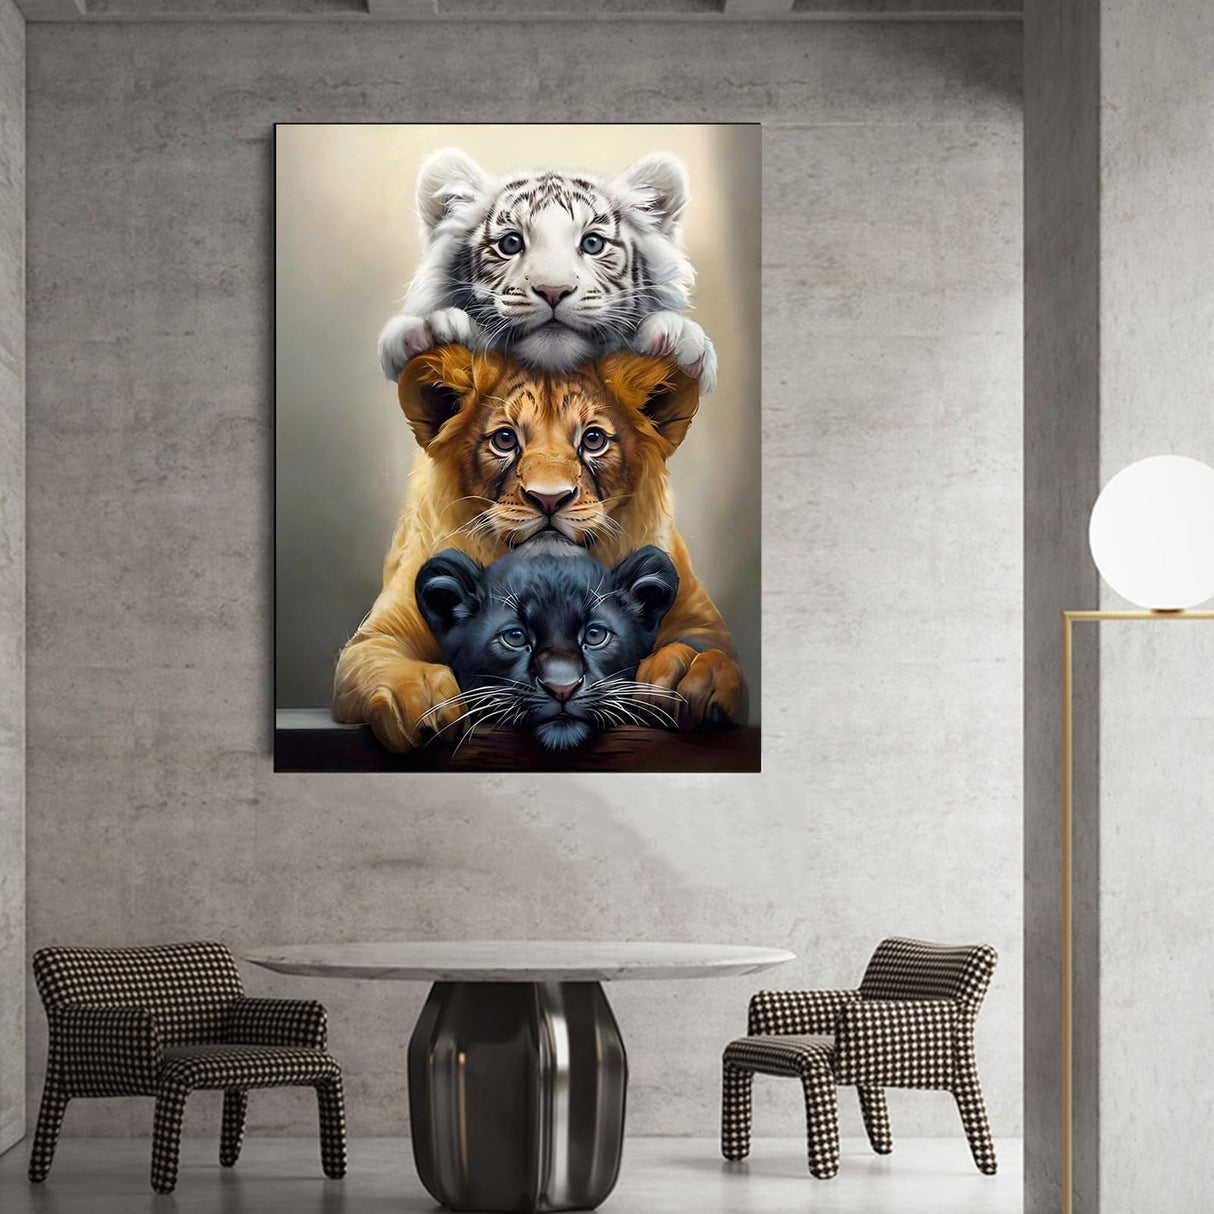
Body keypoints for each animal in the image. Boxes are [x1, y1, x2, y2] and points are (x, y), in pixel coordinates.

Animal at [333, 345, 745, 753]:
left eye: (593, 440)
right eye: (504, 439)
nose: (549, 499)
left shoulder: (698, 619)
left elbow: (713, 650)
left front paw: (689, 672)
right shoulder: (379, 635)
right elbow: (383, 659)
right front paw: (419, 697)